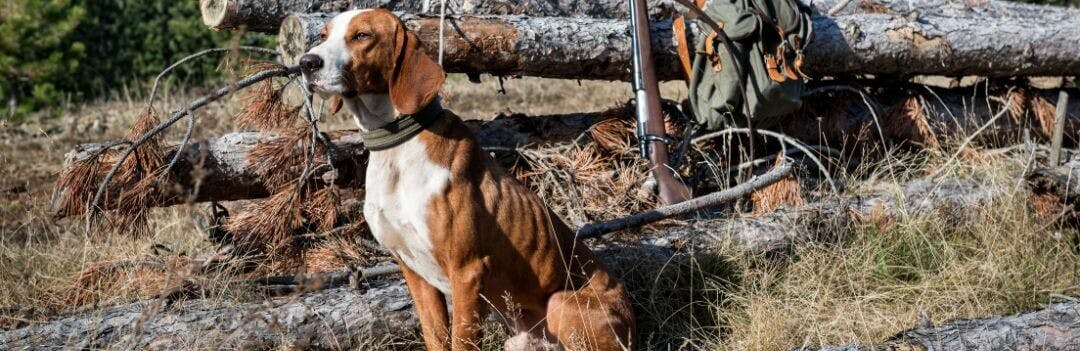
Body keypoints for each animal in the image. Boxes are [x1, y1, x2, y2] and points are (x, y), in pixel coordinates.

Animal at [298, 8, 630, 349]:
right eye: (323, 35)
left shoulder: (467, 272)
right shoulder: (414, 272)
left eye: (362, 35)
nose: (306, 63)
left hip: (561, 304)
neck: (397, 146)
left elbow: (461, 339)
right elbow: (435, 336)